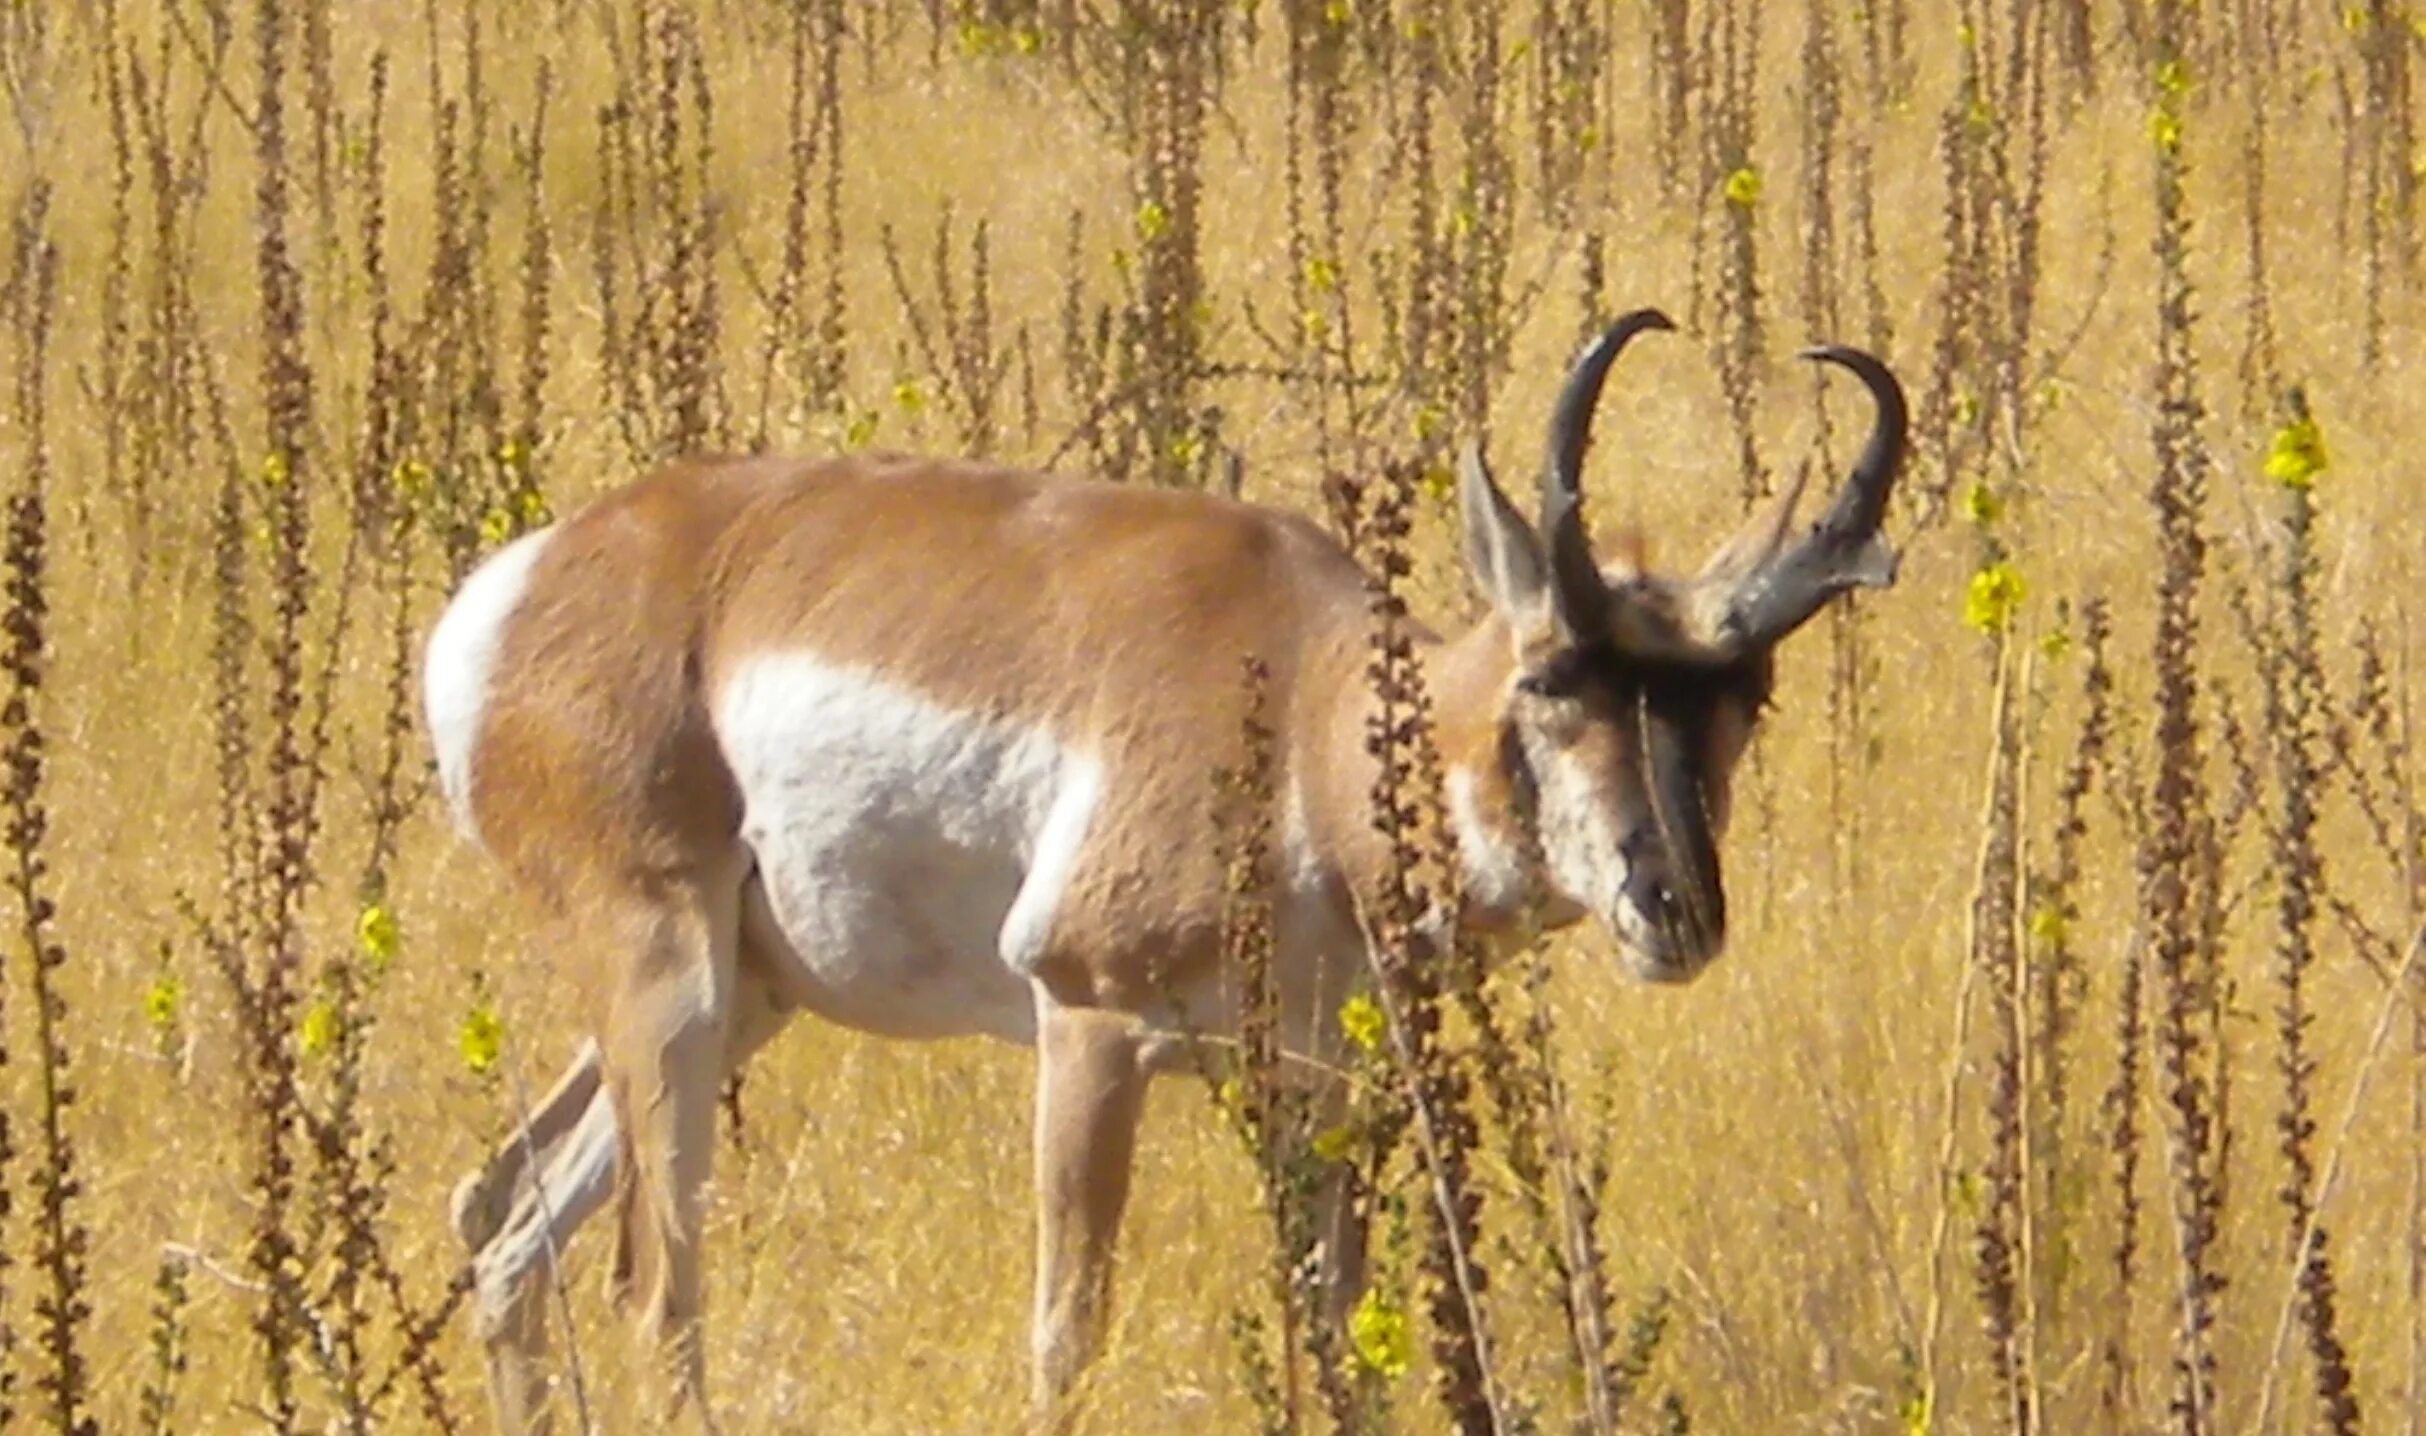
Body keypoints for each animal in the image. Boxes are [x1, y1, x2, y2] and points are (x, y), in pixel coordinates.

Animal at [426, 308, 1901, 1426]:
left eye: (1745, 695)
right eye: (1548, 674)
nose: (1674, 909)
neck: (1305, 701)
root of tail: (534, 578)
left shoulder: (1320, 1082)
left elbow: (1332, 1323)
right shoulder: (1088, 1027)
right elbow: (1065, 1334)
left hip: (743, 998)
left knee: (501, 1222)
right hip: (668, 986)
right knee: (651, 1290)